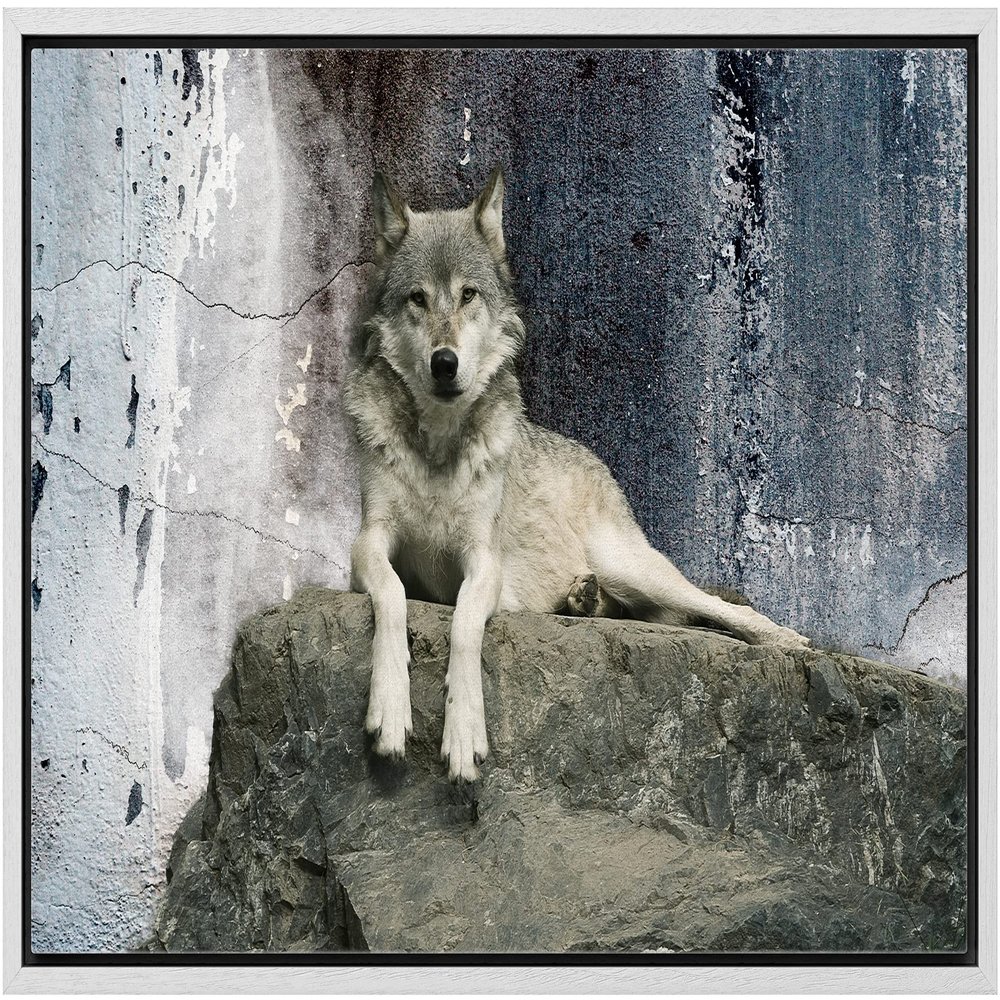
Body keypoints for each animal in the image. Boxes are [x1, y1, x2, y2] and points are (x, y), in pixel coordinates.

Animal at [343, 167, 810, 783]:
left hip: (634, 566)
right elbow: (394, 596)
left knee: (722, 609)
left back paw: (788, 639)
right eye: (417, 299)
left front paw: (464, 733)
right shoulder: (369, 542)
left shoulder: (483, 561)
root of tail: (595, 461)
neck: (439, 446)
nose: (445, 363)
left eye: (468, 295)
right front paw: (392, 708)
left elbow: (464, 625)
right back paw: (584, 601)